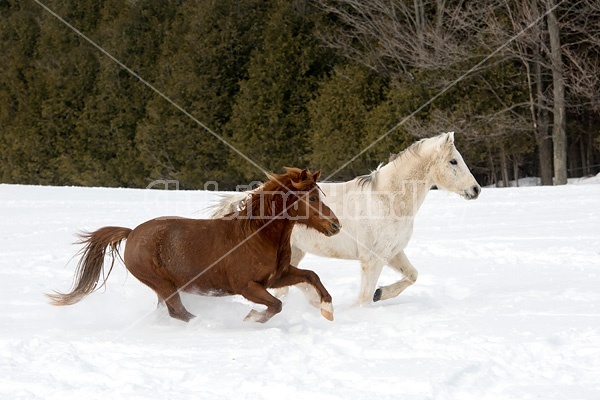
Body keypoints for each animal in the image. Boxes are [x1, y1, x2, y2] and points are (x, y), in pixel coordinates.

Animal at [49, 167, 340, 324]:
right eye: (312, 197)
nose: (335, 225)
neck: (256, 236)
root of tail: (131, 234)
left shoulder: (277, 276)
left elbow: (312, 276)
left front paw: (328, 310)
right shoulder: (247, 286)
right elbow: (276, 306)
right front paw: (250, 318)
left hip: (165, 288)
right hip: (163, 285)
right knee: (178, 312)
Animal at [211, 133, 478, 304]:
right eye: (453, 161)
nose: (476, 190)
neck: (386, 199)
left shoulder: (393, 252)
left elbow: (412, 275)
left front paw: (381, 293)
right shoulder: (373, 259)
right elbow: (363, 299)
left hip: (294, 252)